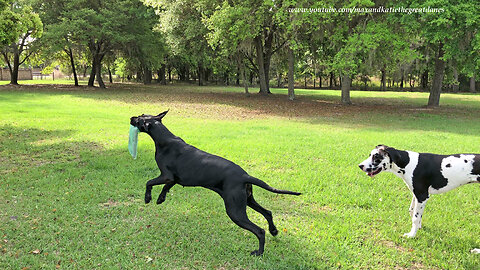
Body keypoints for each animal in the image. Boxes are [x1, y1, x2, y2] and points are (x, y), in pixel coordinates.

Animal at [130, 110, 300, 256]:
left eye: (139, 119)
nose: (131, 118)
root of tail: (245, 175)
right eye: (141, 115)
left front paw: (148, 198)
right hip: (247, 200)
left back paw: (259, 252)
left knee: (259, 231)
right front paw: (160, 199)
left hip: (234, 210)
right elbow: (165, 188)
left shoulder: (166, 176)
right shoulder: (174, 179)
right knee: (268, 213)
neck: (164, 138)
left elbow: (149, 182)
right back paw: (274, 231)